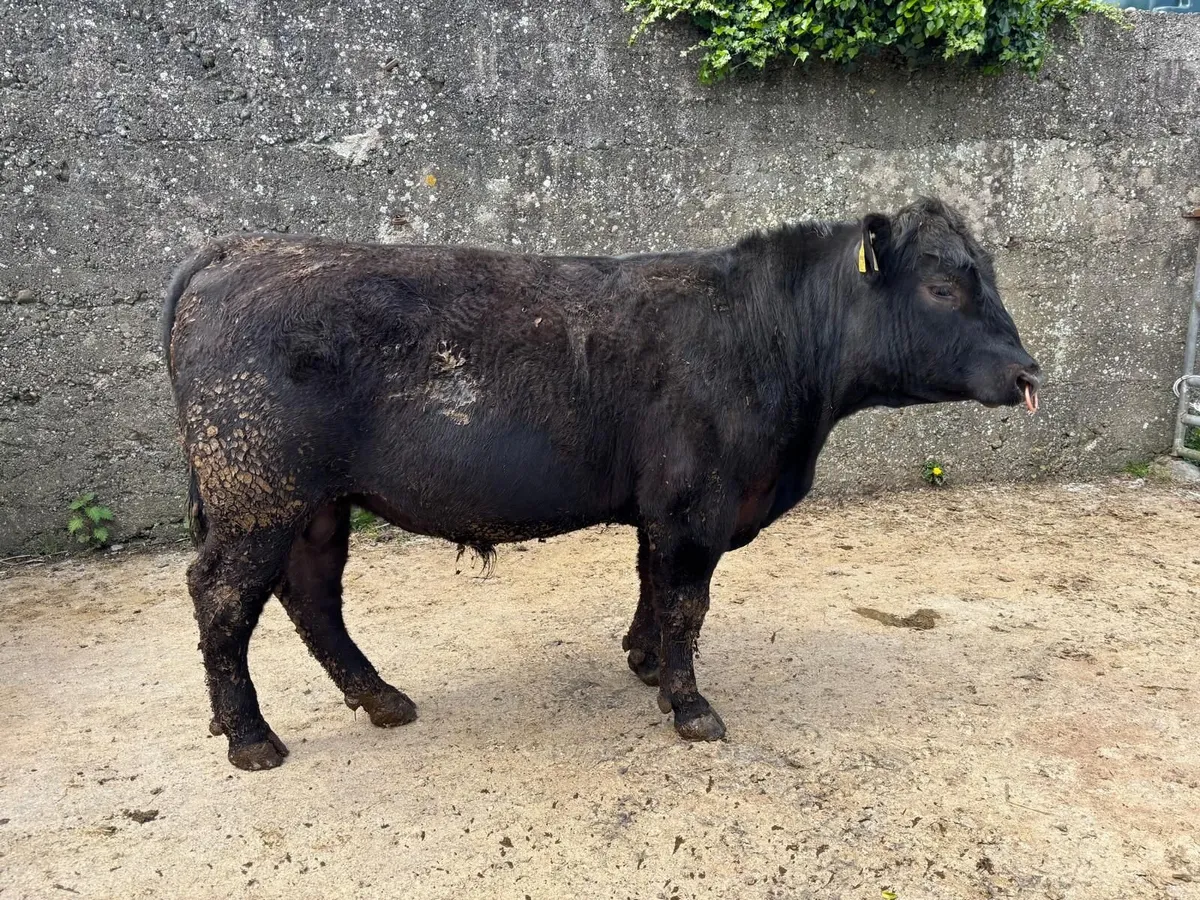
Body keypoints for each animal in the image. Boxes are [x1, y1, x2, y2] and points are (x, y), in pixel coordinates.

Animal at [163, 197, 1040, 770]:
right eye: (941, 287)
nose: (1029, 372)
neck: (767, 334)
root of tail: (241, 248)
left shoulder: (664, 507)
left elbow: (654, 586)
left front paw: (645, 663)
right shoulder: (696, 501)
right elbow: (686, 600)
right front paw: (690, 707)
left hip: (310, 502)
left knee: (310, 594)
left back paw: (382, 699)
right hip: (257, 491)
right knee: (224, 599)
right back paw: (251, 738)